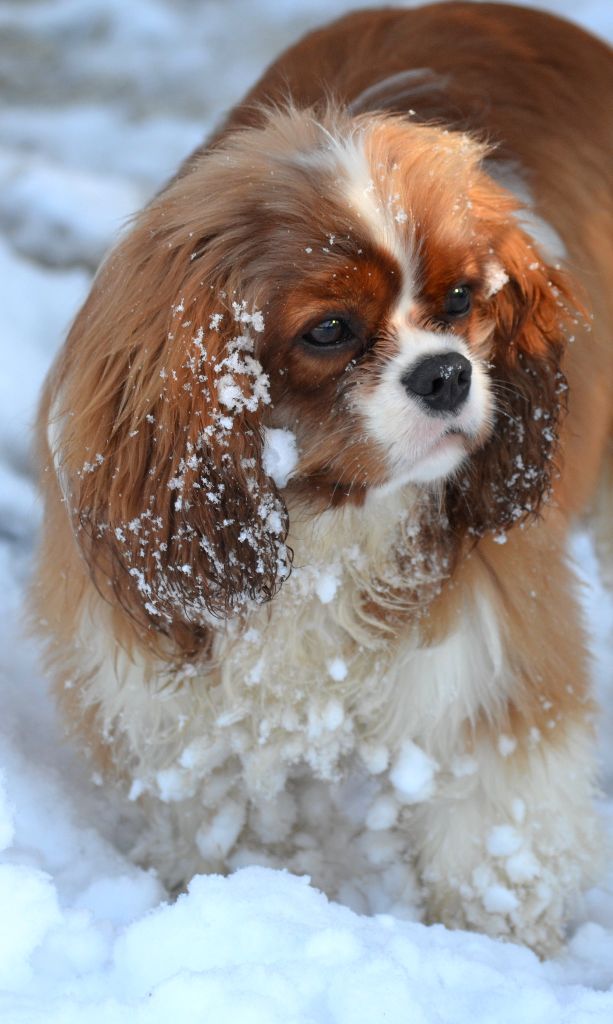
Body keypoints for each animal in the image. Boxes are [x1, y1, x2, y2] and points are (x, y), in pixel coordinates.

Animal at [34, 4, 613, 954]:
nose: (446, 373)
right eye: (331, 330)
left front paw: (498, 950)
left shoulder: (488, 658)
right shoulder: (187, 701)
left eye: (462, 299)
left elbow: (494, 836)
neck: (329, 519)